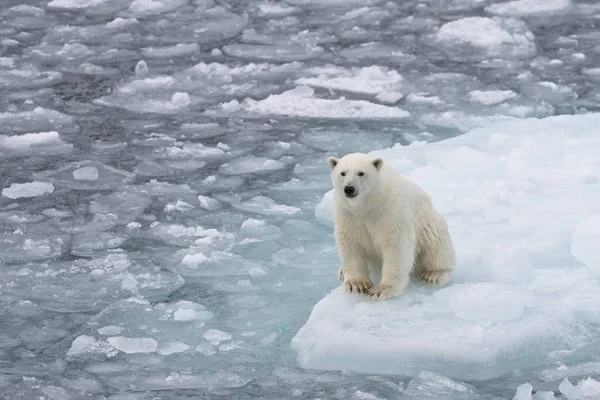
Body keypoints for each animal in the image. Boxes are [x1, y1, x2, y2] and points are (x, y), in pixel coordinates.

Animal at [328, 152, 454, 300]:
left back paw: (434, 274)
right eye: (342, 173)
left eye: (361, 173)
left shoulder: (390, 211)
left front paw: (382, 289)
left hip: (427, 220)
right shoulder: (347, 214)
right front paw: (356, 284)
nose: (349, 188)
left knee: (435, 241)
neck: (368, 205)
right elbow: (350, 243)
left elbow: (396, 246)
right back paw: (342, 271)